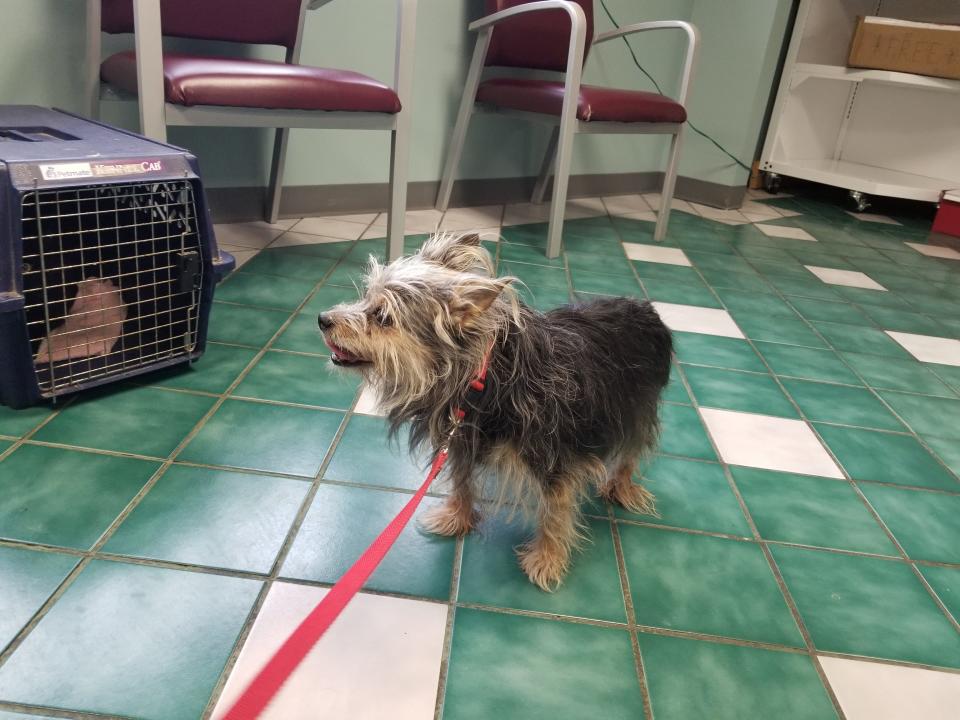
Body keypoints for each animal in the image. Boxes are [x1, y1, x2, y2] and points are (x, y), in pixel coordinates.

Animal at [318, 231, 672, 592]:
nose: (323, 319)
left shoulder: (553, 456)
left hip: (637, 407)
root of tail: (643, 307)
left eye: (383, 317)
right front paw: (456, 518)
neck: (484, 378)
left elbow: (555, 511)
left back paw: (621, 487)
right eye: (365, 299)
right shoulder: (461, 439)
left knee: (631, 451)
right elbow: (461, 482)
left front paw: (547, 559)